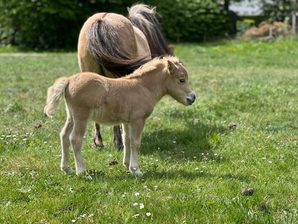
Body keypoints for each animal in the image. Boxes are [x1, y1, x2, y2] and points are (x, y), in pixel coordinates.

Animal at [44, 56, 196, 180]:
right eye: (181, 80)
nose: (192, 98)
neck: (143, 88)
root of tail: (69, 80)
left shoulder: (127, 121)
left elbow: (127, 140)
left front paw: (127, 166)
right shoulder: (138, 120)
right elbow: (136, 142)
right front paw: (136, 170)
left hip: (71, 116)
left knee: (64, 135)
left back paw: (67, 169)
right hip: (82, 116)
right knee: (75, 139)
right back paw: (83, 173)